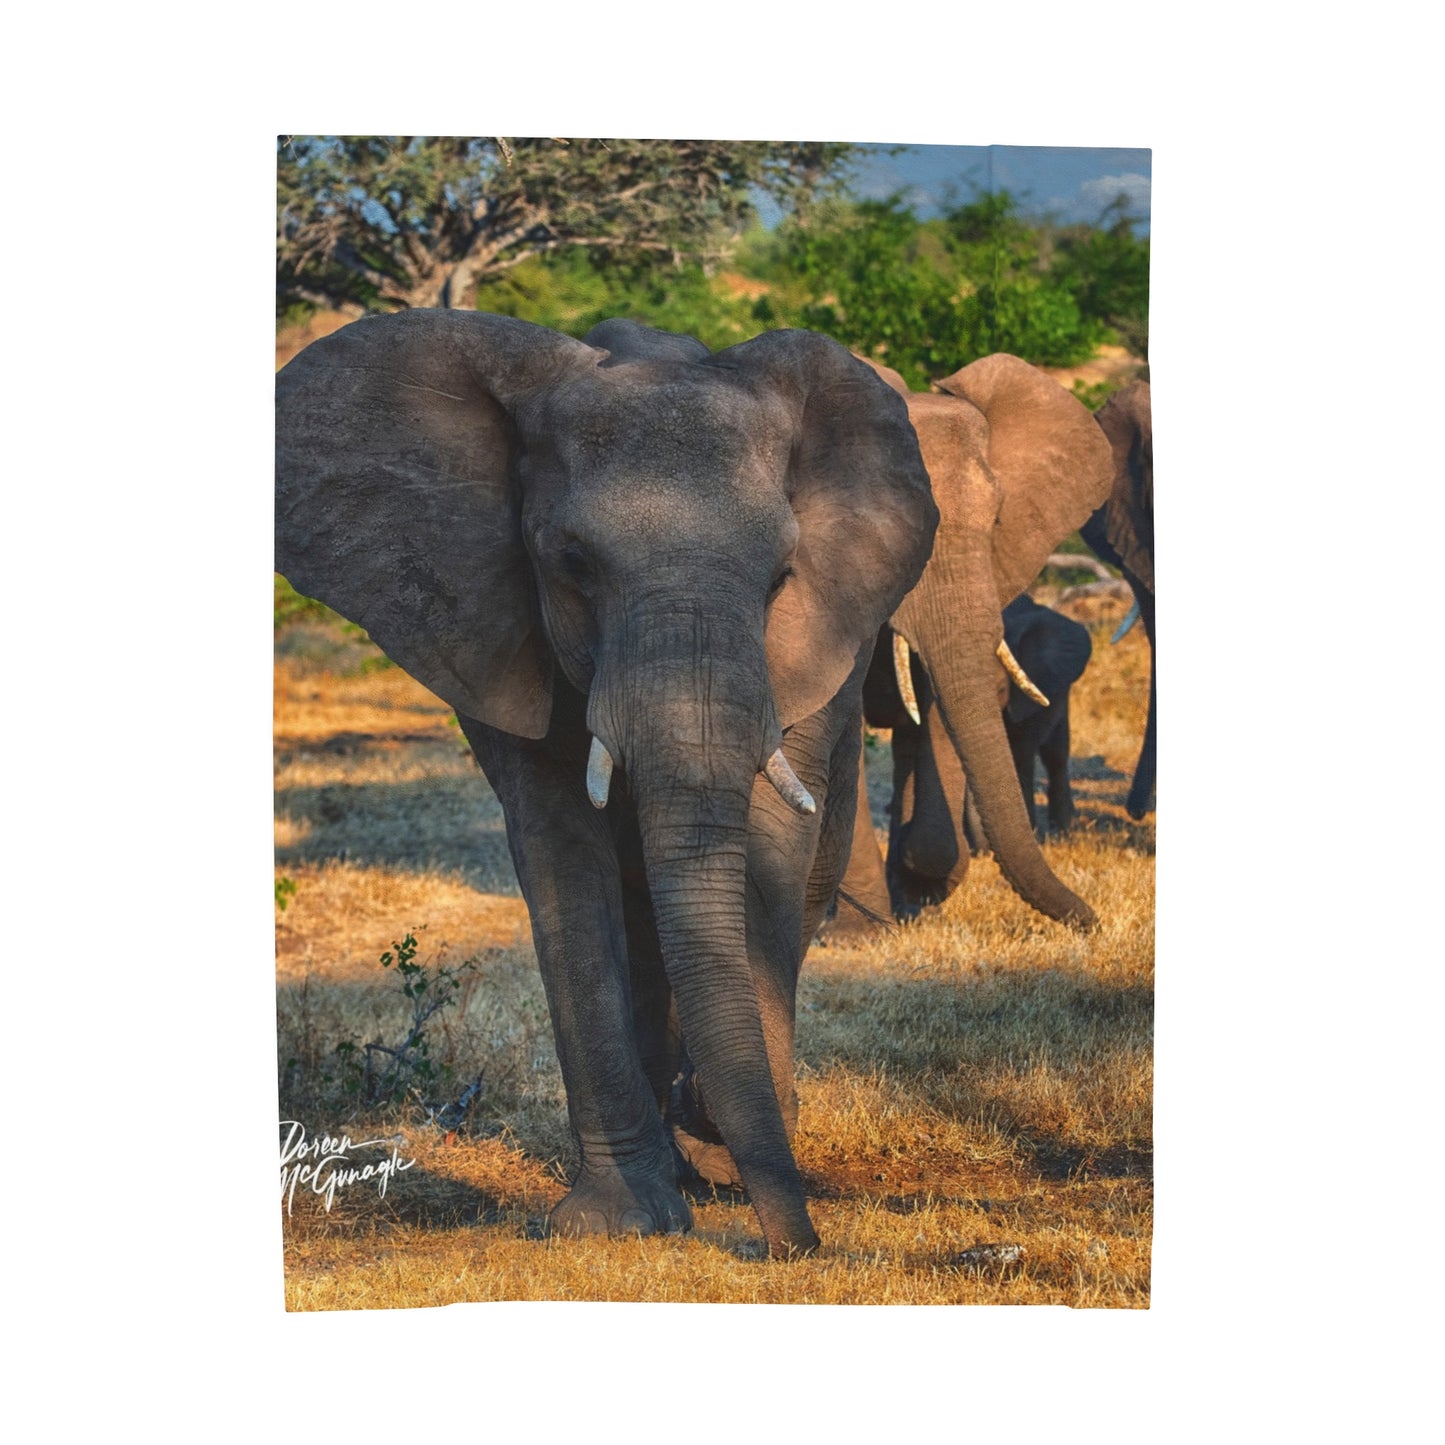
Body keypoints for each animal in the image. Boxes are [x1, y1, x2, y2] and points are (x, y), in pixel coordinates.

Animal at [275, 310, 938, 1257]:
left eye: (781, 575)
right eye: (572, 562)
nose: (794, 1247)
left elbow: (768, 838)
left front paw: (721, 1148)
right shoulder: (496, 626)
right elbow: (562, 854)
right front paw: (619, 1221)